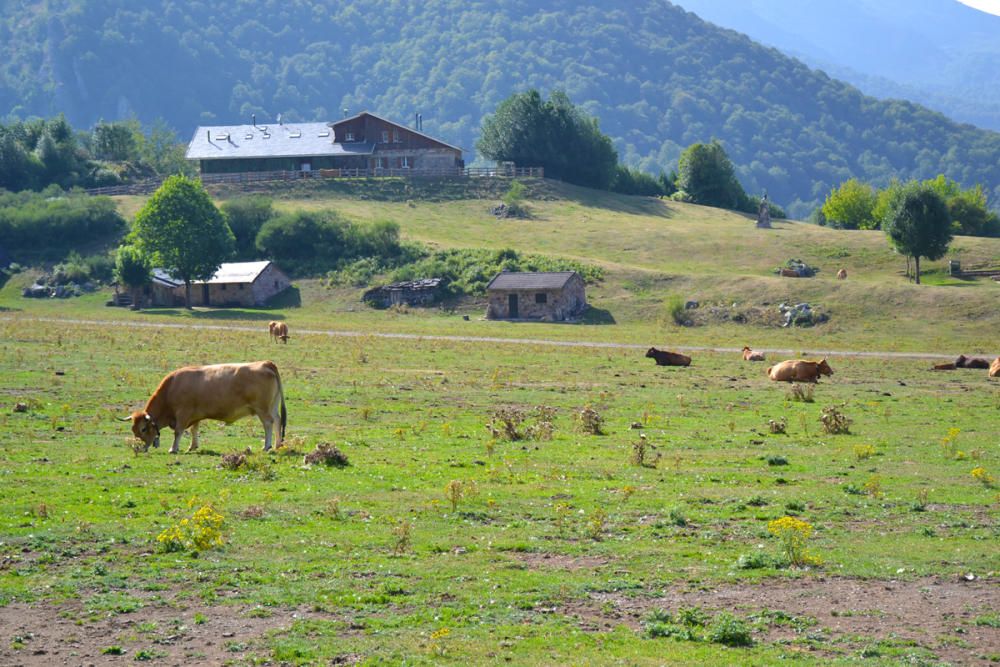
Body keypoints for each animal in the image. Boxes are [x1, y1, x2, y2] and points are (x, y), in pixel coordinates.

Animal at [122, 360, 286, 454]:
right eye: (133, 430)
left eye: (143, 429)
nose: (138, 448)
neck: (171, 388)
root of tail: (265, 363)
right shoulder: (195, 415)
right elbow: (194, 430)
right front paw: (192, 446)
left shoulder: (183, 414)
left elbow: (178, 431)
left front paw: (173, 448)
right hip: (272, 406)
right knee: (277, 420)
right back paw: (278, 444)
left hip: (262, 409)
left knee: (268, 423)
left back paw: (267, 446)